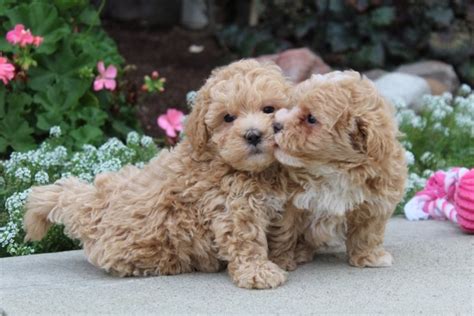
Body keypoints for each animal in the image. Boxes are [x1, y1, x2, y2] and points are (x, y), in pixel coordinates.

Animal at [25, 59, 294, 288]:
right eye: (228, 117)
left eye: (268, 109)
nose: (253, 135)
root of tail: (93, 207)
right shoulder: (233, 208)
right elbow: (246, 241)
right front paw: (259, 272)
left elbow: (283, 233)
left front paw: (284, 259)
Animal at [270, 71, 408, 270]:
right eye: (291, 106)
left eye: (311, 119)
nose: (275, 125)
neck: (334, 170)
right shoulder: (287, 203)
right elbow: (285, 231)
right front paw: (282, 260)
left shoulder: (376, 202)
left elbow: (368, 232)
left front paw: (368, 257)